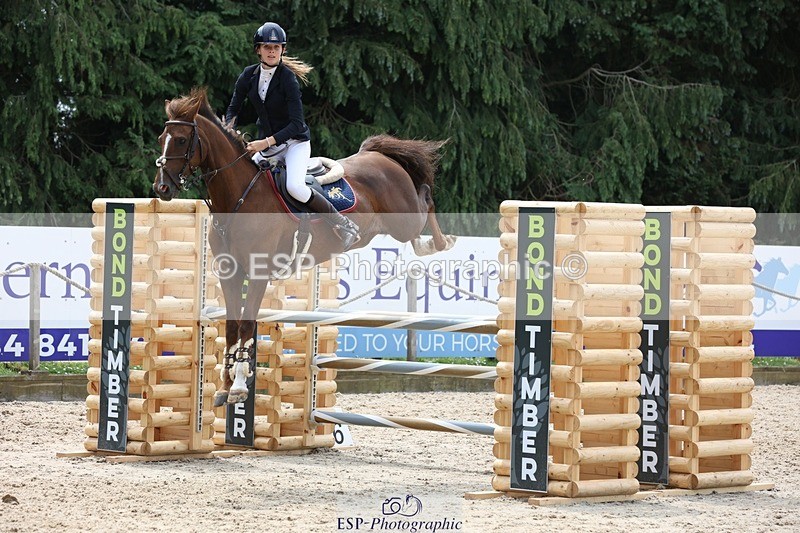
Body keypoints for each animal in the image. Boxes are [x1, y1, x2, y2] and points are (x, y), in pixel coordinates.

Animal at [152, 87, 455, 407]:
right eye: (162, 138)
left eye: (182, 140)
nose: (162, 188)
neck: (238, 198)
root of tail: (376, 154)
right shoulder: (230, 275)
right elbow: (232, 326)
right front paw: (224, 387)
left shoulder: (258, 275)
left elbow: (246, 324)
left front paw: (239, 386)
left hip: (404, 218)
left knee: (426, 197)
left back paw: (439, 242)